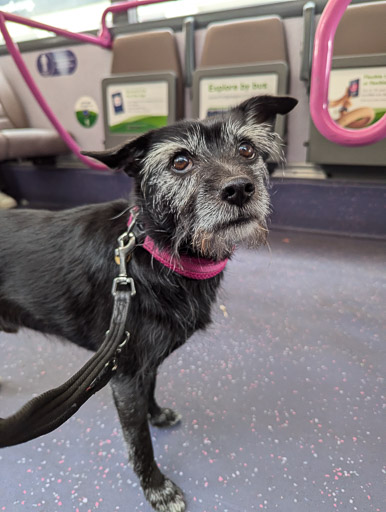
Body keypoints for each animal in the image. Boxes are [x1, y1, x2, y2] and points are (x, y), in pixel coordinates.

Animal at [0, 97, 296, 512]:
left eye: (246, 150)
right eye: (180, 161)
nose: (239, 189)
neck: (157, 256)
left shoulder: (145, 361)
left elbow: (151, 391)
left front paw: (156, 415)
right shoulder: (123, 376)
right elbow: (139, 442)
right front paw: (157, 488)